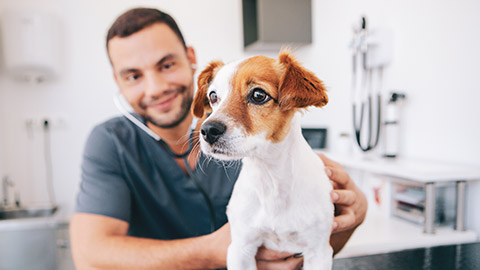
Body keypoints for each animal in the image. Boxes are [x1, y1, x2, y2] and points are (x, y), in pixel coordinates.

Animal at [191, 51, 334, 270]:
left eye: (258, 95)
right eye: (213, 96)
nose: (208, 131)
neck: (270, 177)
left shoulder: (319, 252)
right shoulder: (240, 248)